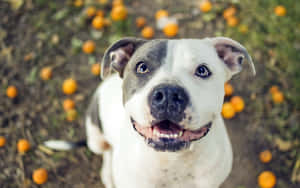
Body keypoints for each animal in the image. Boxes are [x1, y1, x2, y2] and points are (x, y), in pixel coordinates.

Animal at [45, 37, 255, 188]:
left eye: (203, 70)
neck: (172, 161)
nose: (168, 94)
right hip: (95, 136)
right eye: (142, 67)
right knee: (106, 151)